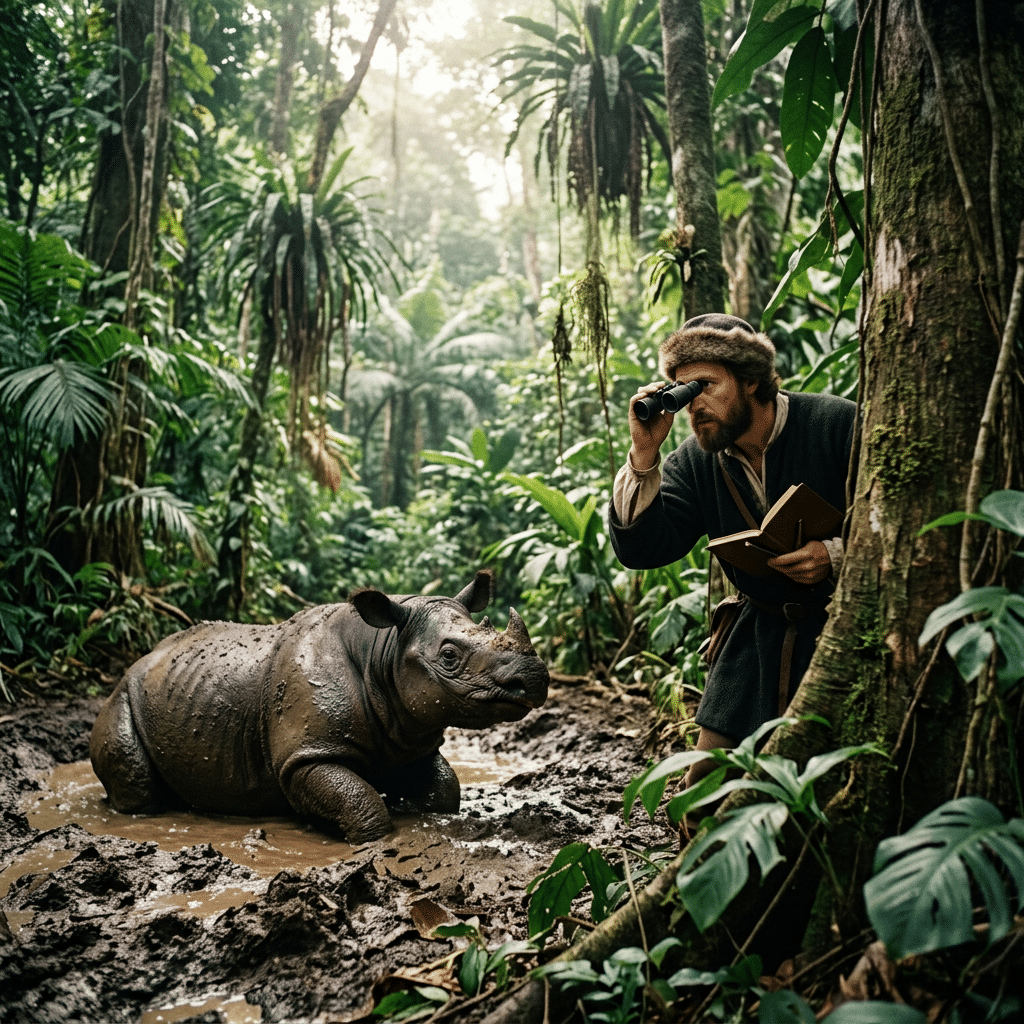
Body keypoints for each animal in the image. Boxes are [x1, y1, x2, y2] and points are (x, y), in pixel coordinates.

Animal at [89, 571, 548, 842]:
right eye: (449, 656)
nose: (535, 678)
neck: (383, 650)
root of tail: (138, 662)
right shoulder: (306, 755)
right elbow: (362, 804)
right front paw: (372, 837)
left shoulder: (410, 738)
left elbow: (445, 790)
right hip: (122, 695)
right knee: (137, 784)